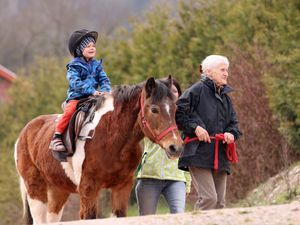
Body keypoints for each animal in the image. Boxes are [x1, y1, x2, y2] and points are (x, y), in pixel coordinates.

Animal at [14, 76, 183, 224]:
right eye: (154, 109)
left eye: (175, 108)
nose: (175, 147)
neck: (111, 138)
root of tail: (25, 132)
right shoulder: (88, 189)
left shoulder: (122, 187)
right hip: (36, 190)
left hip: (58, 191)